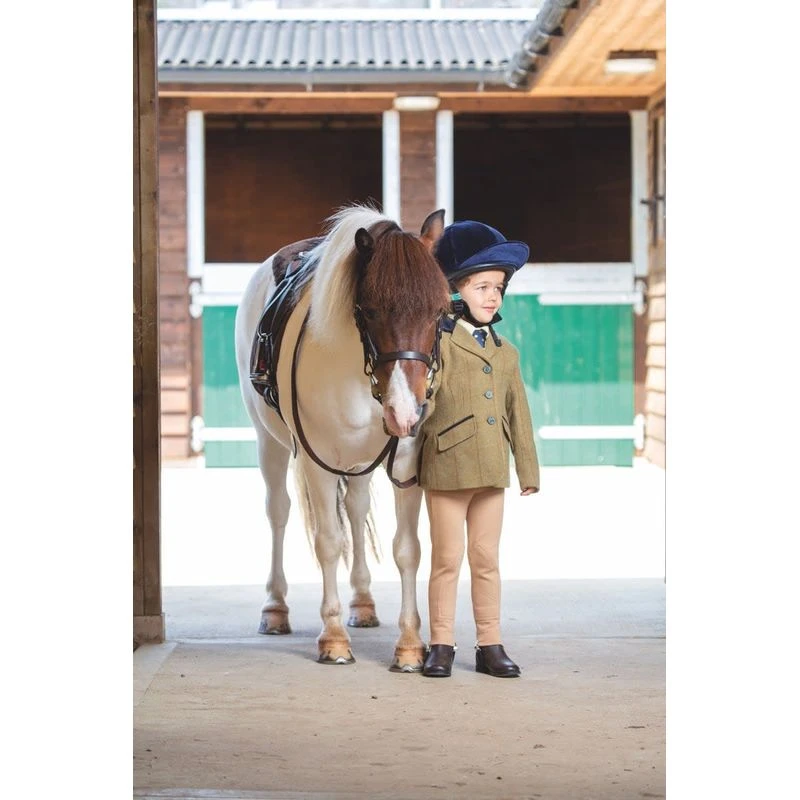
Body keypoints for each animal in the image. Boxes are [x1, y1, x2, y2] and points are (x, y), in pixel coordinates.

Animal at [234, 204, 450, 670]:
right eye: (368, 311)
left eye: (441, 312)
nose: (406, 411)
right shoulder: (316, 461)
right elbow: (330, 543)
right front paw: (332, 639)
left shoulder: (406, 461)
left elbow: (407, 547)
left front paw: (410, 645)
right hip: (269, 444)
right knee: (278, 512)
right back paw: (275, 608)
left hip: (360, 461)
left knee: (356, 507)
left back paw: (363, 603)